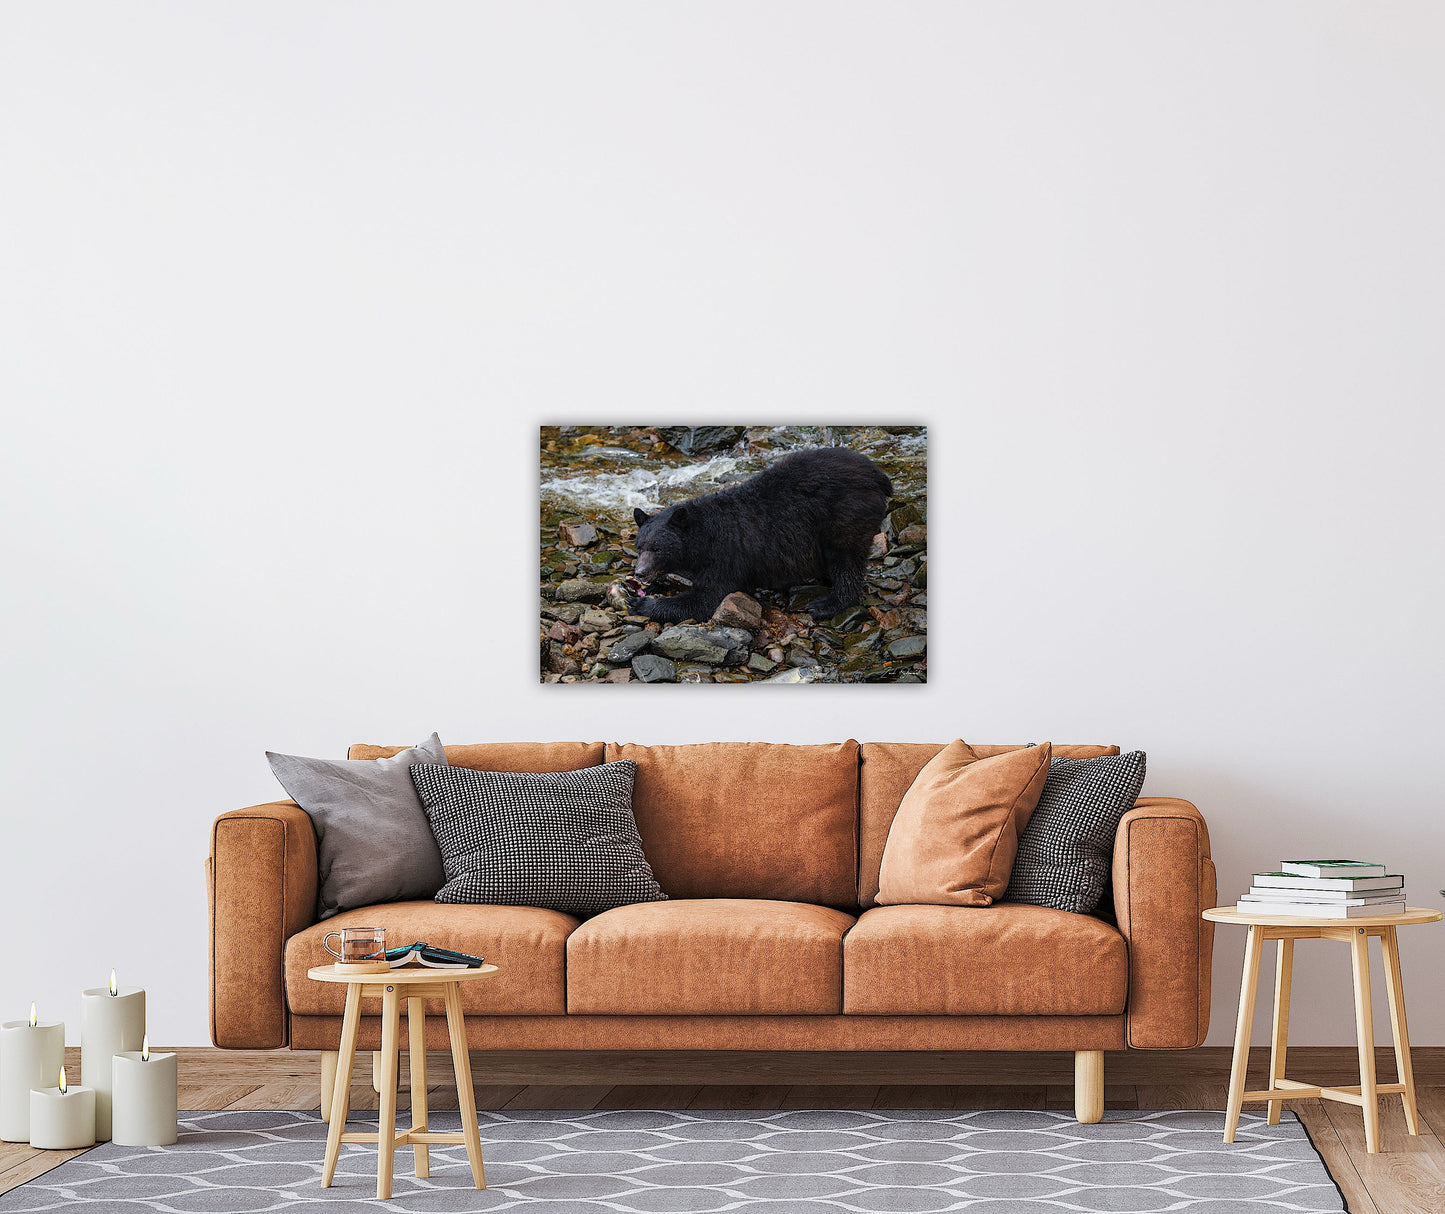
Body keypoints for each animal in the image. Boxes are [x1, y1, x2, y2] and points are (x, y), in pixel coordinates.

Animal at [626, 446, 893, 624]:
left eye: (657, 548)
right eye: (640, 547)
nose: (640, 572)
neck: (702, 539)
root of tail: (877, 474)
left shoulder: (724, 556)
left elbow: (708, 598)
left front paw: (640, 603)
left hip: (846, 514)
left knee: (846, 560)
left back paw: (828, 604)